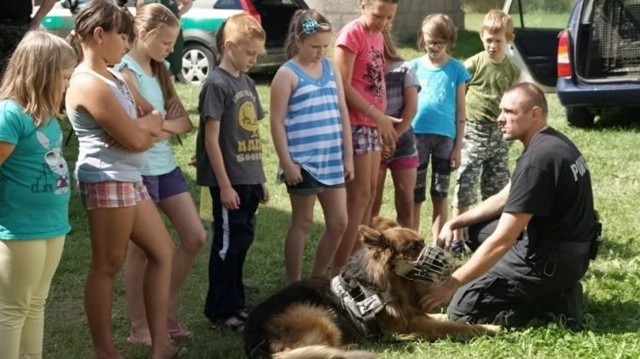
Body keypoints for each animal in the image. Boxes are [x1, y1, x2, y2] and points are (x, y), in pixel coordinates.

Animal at [245, 218, 500, 358]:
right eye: (414, 247)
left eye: (421, 242)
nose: (448, 260)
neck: (381, 284)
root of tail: (258, 344)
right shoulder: (414, 323)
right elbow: (453, 326)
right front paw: (491, 328)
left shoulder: (415, 314)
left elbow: (445, 317)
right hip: (316, 314)